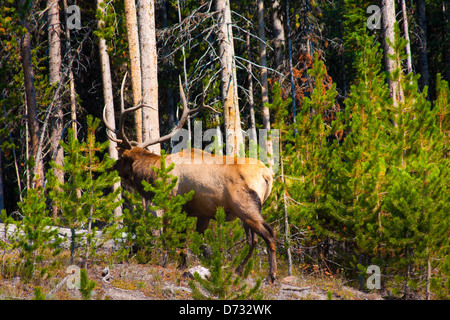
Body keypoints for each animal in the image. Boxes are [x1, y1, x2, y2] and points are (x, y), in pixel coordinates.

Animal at [103, 75, 276, 282]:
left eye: (122, 158)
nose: (112, 166)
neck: (156, 175)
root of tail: (267, 175)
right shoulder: (203, 213)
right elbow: (195, 240)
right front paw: (198, 263)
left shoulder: (173, 204)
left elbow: (171, 236)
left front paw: (171, 263)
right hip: (247, 212)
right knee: (253, 240)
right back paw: (238, 270)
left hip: (246, 207)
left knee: (269, 233)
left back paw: (271, 275)